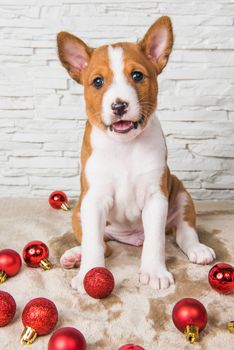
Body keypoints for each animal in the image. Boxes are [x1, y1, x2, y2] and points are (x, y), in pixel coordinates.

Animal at [57, 16, 216, 292]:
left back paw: (198, 249)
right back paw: (75, 255)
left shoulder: (155, 197)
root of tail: (132, 238)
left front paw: (154, 272)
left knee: (184, 232)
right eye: (97, 82)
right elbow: (93, 244)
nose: (119, 105)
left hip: (181, 195)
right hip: (79, 211)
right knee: (103, 245)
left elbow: (156, 241)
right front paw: (88, 273)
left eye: (137, 75)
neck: (124, 146)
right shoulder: (93, 199)